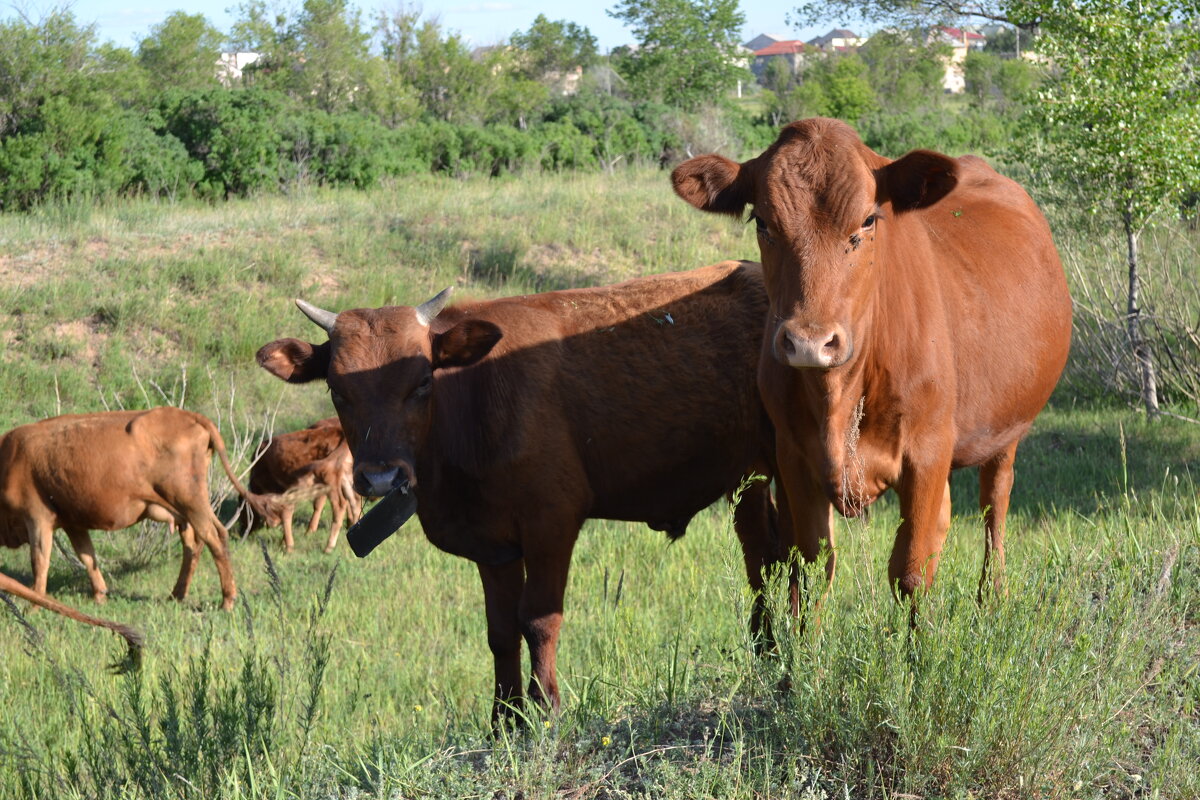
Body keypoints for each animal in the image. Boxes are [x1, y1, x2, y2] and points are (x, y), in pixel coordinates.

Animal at [0, 410, 279, 609]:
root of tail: (187, 414)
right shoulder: (73, 522)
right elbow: (87, 556)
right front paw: (100, 595)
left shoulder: (37, 517)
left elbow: (40, 560)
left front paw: (34, 604)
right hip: (185, 510)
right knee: (193, 545)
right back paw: (177, 594)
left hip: (190, 501)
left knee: (215, 537)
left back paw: (227, 600)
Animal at [241, 417, 357, 554]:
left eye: (244, 513)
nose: (240, 533)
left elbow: (286, 513)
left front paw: (287, 545)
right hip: (344, 478)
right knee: (354, 502)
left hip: (330, 481)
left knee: (340, 506)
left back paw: (328, 547)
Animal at [254, 262, 777, 719]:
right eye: (336, 389)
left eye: (422, 381)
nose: (382, 478)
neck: (473, 400)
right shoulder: (493, 543)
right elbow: (501, 632)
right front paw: (504, 719)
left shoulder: (551, 523)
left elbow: (539, 619)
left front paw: (546, 709)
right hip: (751, 479)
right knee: (765, 559)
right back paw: (771, 649)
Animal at [672, 118, 1075, 604]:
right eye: (762, 222)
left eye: (867, 220)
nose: (809, 343)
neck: (839, 395)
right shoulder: (794, 459)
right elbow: (812, 569)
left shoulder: (927, 453)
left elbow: (911, 571)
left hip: (1007, 431)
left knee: (993, 506)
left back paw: (991, 595)